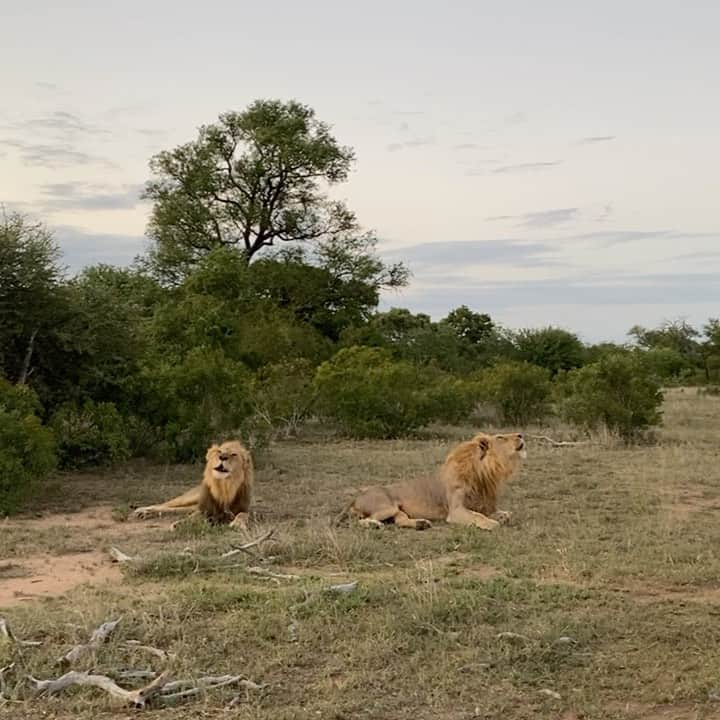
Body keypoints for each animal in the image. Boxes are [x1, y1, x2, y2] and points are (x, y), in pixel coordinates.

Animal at [344, 430, 524, 532]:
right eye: (500, 437)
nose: (521, 435)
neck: (483, 474)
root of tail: (355, 498)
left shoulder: (484, 505)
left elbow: (506, 514)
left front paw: (502, 517)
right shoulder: (456, 510)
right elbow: (479, 517)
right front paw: (492, 523)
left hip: (397, 510)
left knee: (400, 521)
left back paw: (421, 524)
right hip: (387, 507)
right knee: (360, 521)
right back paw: (374, 525)